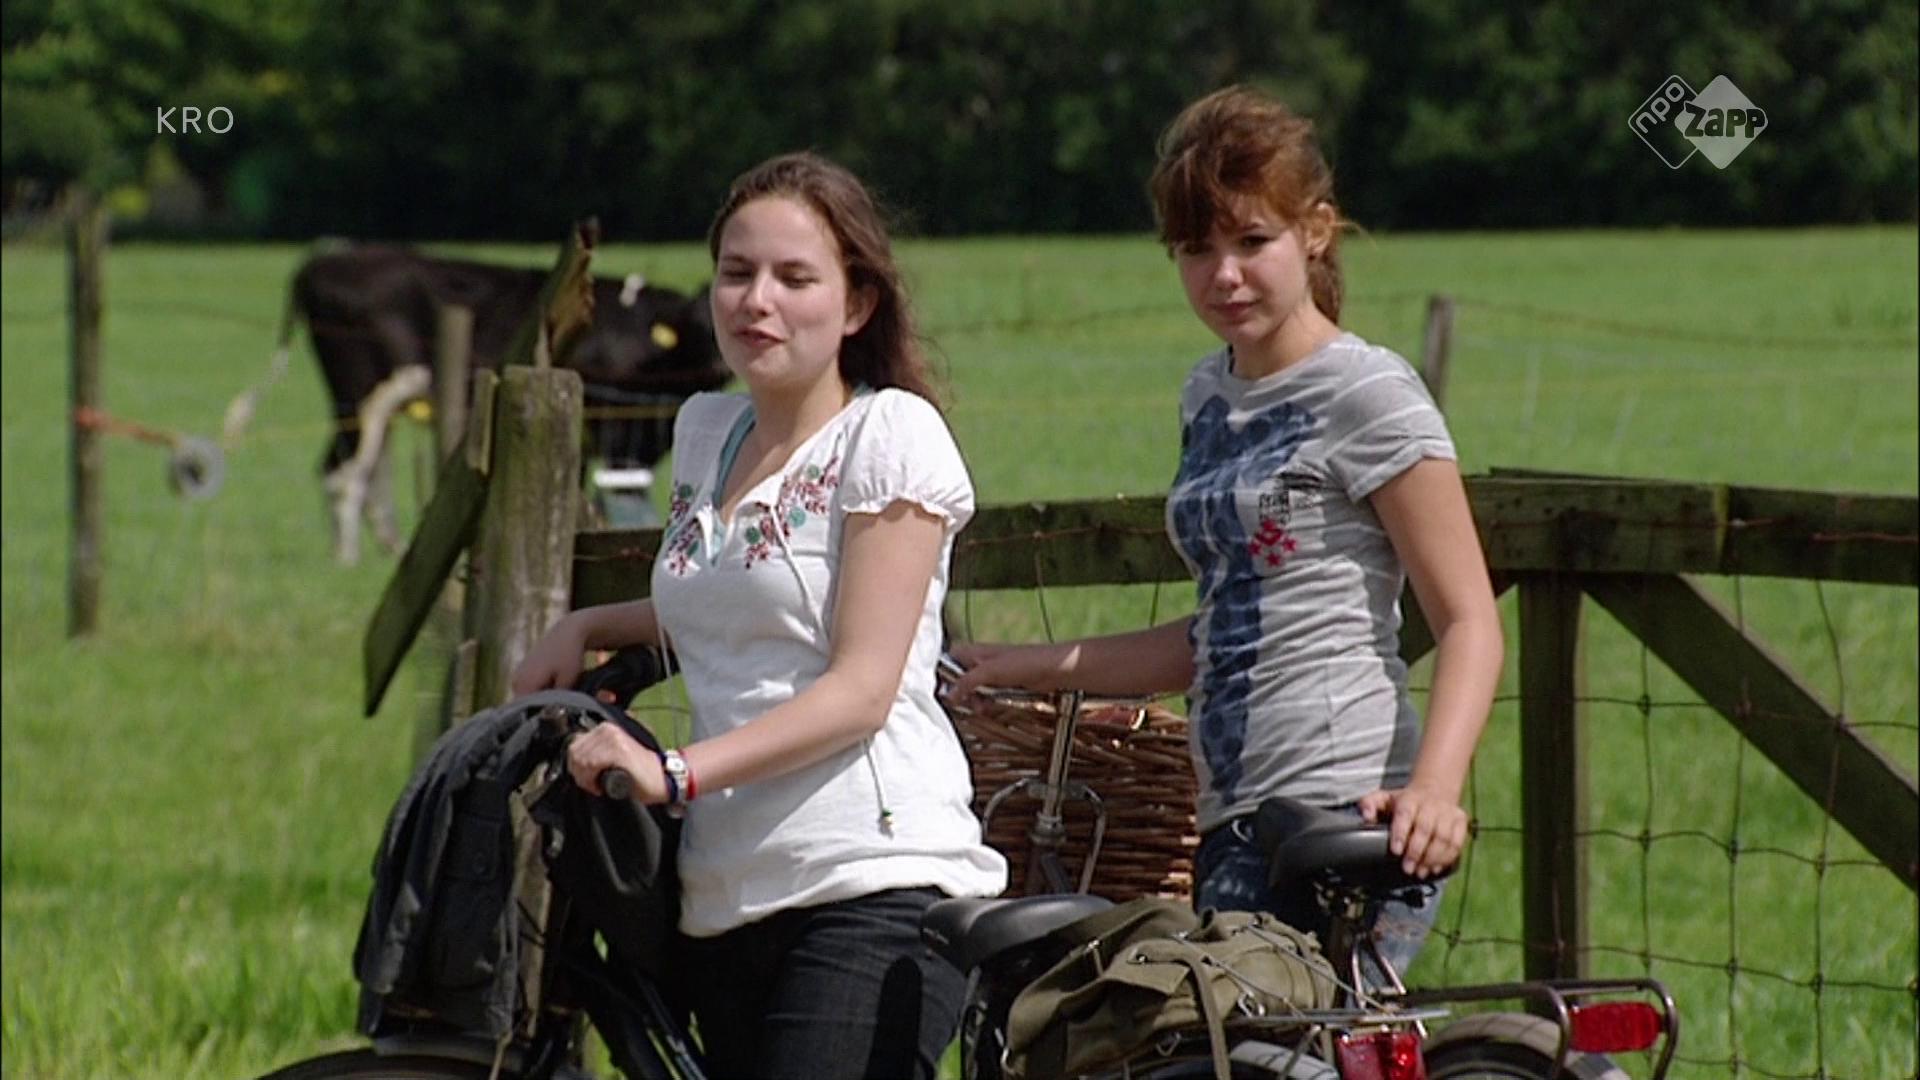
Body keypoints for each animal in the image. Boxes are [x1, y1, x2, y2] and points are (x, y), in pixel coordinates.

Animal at [224, 245, 730, 563]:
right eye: (698, 326)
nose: (722, 359)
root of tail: (320, 262)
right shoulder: (615, 428)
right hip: (359, 391)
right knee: (343, 471)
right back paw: (346, 560)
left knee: (368, 469)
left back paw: (388, 549)